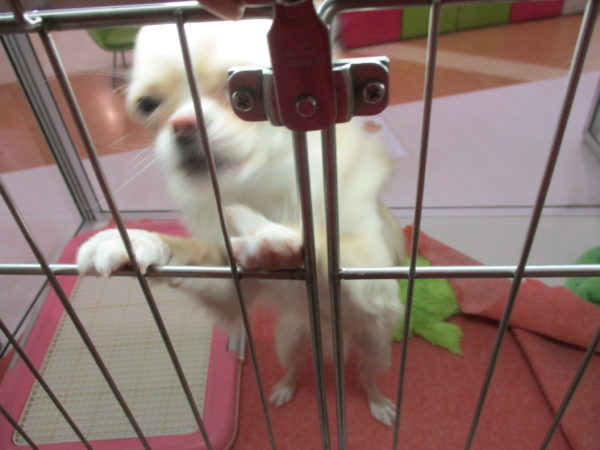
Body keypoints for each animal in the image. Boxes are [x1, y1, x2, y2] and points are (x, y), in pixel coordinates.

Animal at [76, 19, 405, 426]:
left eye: (241, 98)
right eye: (147, 105)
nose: (183, 124)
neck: (267, 191)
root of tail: (331, 348)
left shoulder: (371, 276)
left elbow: (328, 244)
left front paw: (270, 240)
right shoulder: (230, 288)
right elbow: (197, 255)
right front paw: (137, 240)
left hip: (376, 344)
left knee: (365, 370)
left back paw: (378, 401)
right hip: (290, 337)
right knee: (297, 364)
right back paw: (284, 388)